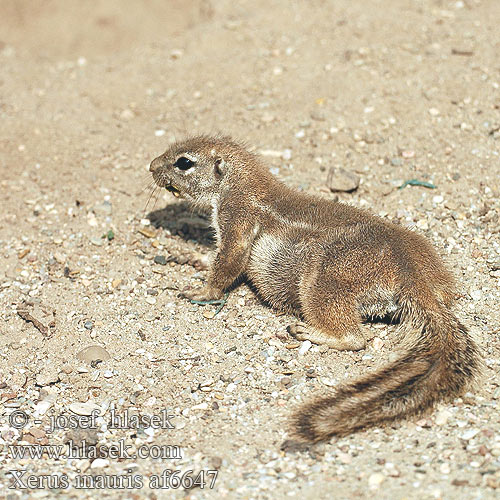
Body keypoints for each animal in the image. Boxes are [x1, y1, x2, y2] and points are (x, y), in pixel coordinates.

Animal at [148, 136, 480, 442]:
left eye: (183, 162)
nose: (151, 166)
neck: (239, 183)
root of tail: (413, 278)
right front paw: (186, 256)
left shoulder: (237, 217)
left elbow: (230, 259)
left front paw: (201, 292)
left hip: (321, 279)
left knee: (354, 337)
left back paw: (307, 331)